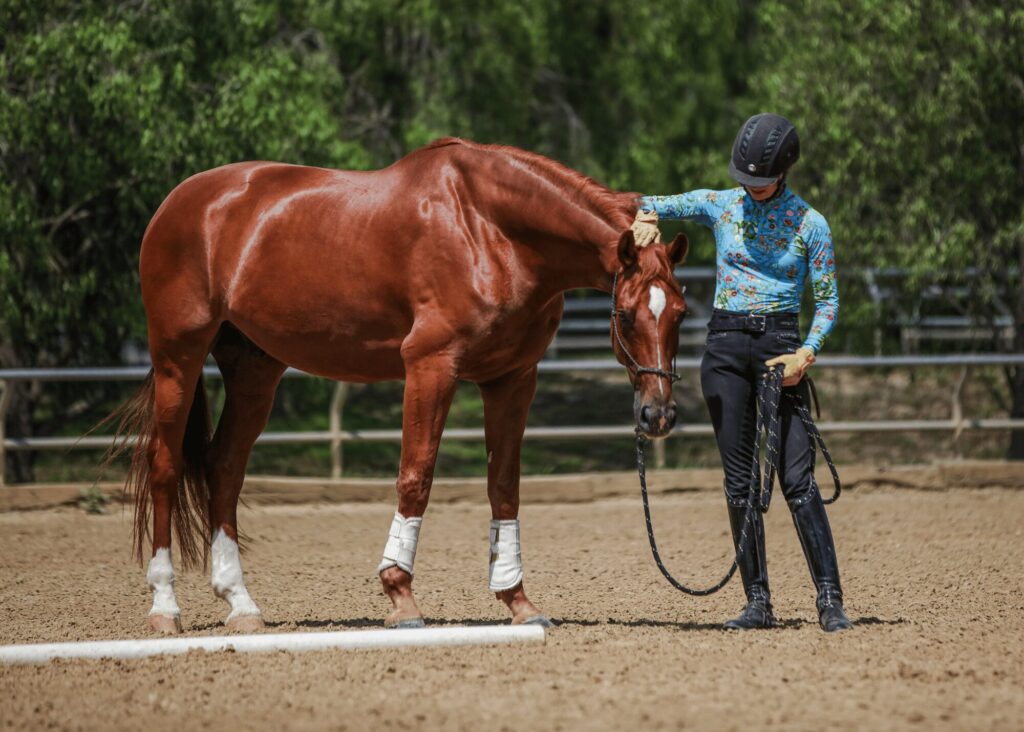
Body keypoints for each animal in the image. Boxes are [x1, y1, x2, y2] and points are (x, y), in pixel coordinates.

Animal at [111, 137, 688, 634]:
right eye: (625, 313)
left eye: (680, 312)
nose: (657, 416)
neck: (490, 228)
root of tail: (181, 201)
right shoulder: (431, 366)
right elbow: (416, 476)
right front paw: (401, 596)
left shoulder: (511, 379)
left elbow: (504, 486)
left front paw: (518, 601)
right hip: (178, 358)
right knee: (164, 467)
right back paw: (165, 606)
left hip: (255, 370)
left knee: (224, 468)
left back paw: (241, 604)